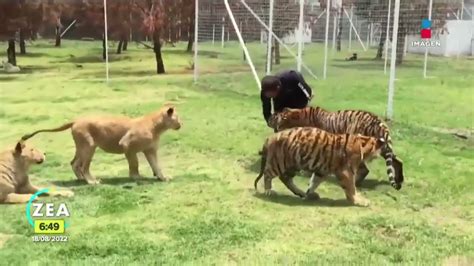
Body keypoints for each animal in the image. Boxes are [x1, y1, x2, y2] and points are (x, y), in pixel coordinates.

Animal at [254, 127, 386, 206]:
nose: (379, 153)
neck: (363, 142)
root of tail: (270, 137)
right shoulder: (347, 172)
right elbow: (351, 188)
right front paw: (359, 201)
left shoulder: (322, 171)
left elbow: (314, 182)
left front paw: (309, 194)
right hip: (279, 162)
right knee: (268, 174)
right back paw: (269, 191)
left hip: (294, 164)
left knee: (285, 179)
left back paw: (301, 193)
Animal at [268, 105, 402, 190]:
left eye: (275, 116)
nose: (268, 119)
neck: (299, 115)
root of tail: (380, 123)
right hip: (385, 149)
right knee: (398, 161)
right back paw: (399, 179)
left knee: (365, 170)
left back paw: (353, 183)